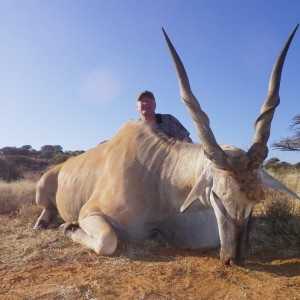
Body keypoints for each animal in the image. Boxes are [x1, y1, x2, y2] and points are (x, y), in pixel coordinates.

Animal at [34, 25, 298, 264]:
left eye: (257, 196)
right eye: (216, 194)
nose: (236, 258)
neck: (159, 176)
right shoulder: (90, 213)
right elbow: (107, 241)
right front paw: (67, 227)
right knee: (48, 210)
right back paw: (44, 222)